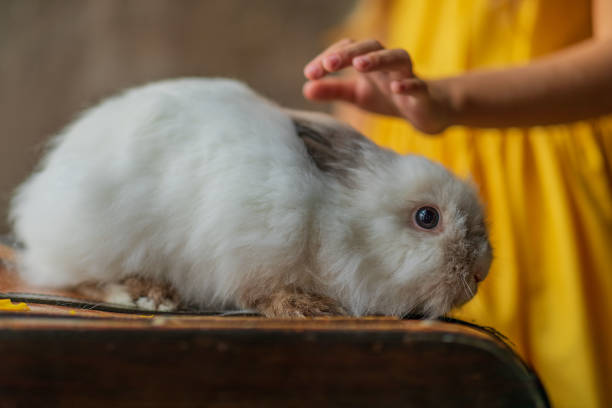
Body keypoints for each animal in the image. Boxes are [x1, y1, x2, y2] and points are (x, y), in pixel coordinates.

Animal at [8, 78, 492, 318]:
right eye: (427, 217)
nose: (481, 271)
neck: (334, 222)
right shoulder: (250, 247)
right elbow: (258, 293)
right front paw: (307, 307)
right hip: (96, 238)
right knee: (79, 278)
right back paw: (150, 295)